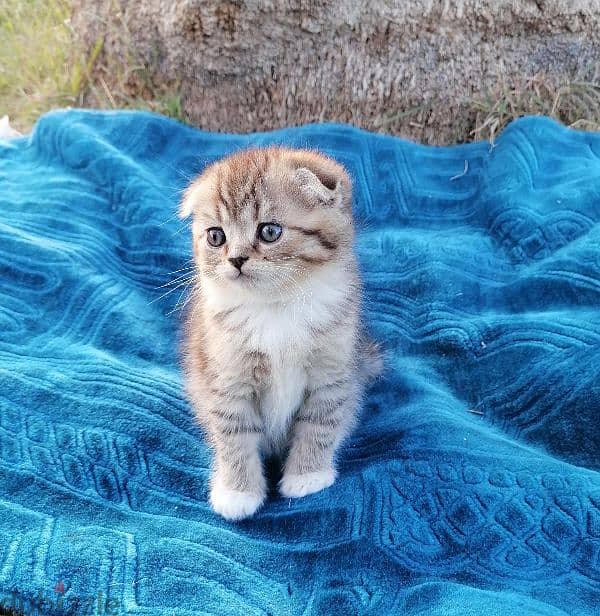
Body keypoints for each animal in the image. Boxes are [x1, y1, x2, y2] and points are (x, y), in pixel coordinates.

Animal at [178, 146, 382, 520]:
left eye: (269, 231)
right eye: (216, 236)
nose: (236, 259)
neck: (275, 307)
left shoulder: (332, 371)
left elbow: (320, 423)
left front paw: (307, 475)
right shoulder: (227, 376)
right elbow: (234, 435)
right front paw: (238, 491)